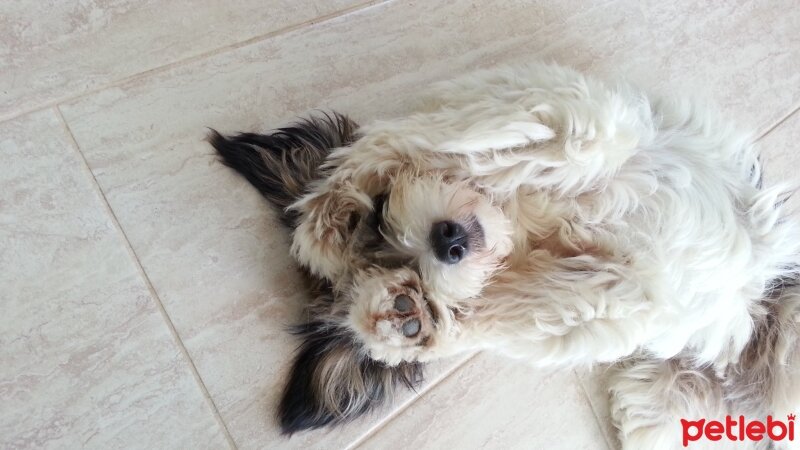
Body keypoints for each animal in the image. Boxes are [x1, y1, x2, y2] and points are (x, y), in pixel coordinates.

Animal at [208, 64, 800, 450]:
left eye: (378, 216)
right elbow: (554, 301)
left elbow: (514, 138)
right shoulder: (615, 296)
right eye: (413, 294)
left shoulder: (577, 110)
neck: (523, 230)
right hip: (664, 404)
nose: (449, 242)